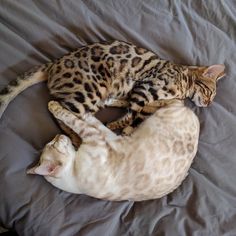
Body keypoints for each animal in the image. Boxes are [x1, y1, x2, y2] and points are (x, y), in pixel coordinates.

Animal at [0, 39, 226, 134]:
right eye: (210, 93)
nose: (207, 104)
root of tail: (54, 64)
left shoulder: (146, 100)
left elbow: (136, 113)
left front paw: (125, 126)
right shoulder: (145, 88)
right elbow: (132, 113)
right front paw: (117, 126)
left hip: (92, 97)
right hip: (91, 91)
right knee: (60, 113)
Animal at [27, 99, 199, 201]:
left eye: (52, 143)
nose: (58, 135)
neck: (73, 173)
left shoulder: (100, 136)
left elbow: (83, 117)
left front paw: (57, 105)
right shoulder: (96, 136)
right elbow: (77, 119)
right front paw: (55, 106)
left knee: (173, 100)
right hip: (164, 114)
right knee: (175, 101)